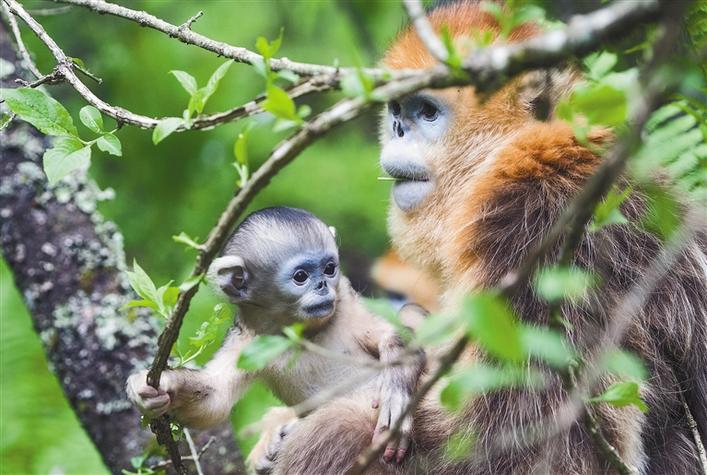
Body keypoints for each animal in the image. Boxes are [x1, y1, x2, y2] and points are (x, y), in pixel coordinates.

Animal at [126, 207, 427, 472]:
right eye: (301, 276)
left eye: (330, 269)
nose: (323, 286)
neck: (300, 334)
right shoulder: (247, 341)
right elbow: (214, 400)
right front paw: (153, 389)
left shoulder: (346, 306)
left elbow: (395, 338)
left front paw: (395, 396)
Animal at [261, 3, 707, 474]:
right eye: (398, 110)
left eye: (427, 111)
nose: (399, 128)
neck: (511, 147)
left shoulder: (531, 220)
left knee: (341, 429)